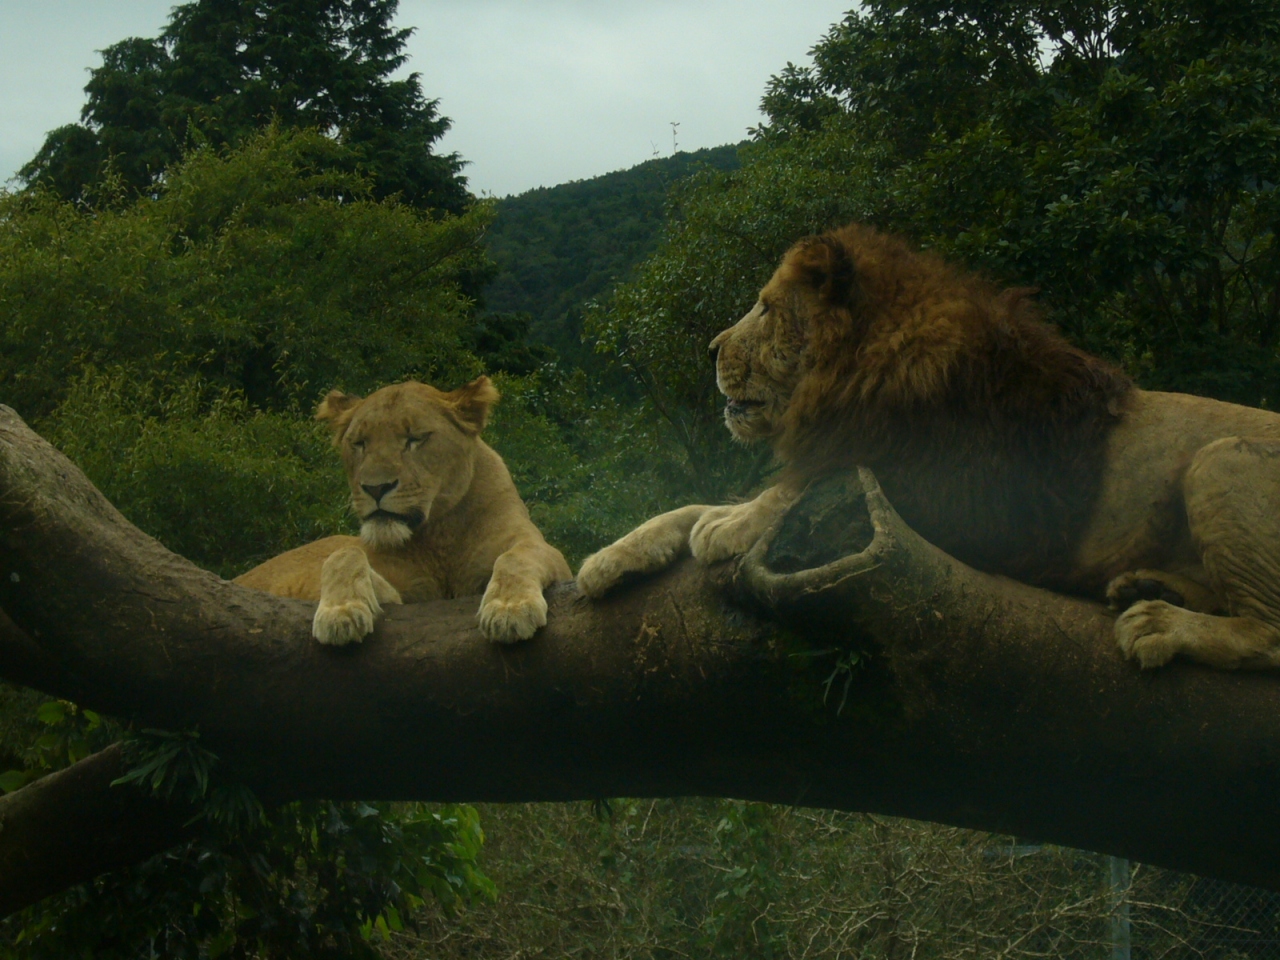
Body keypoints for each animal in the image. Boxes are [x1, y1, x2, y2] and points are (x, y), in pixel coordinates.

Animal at [238, 378, 568, 647]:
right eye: (359, 443)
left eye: (415, 438)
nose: (375, 488)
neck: (440, 535)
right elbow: (344, 555)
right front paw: (341, 612)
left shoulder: (545, 551)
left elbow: (515, 557)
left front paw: (509, 609)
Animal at [583, 221, 1280, 670]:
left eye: (764, 308)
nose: (709, 351)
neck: (867, 372)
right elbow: (691, 505)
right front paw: (612, 557)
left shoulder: (972, 508)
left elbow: (796, 485)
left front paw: (731, 524)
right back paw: (1150, 587)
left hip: (1222, 459)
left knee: (1269, 632)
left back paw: (1162, 621)